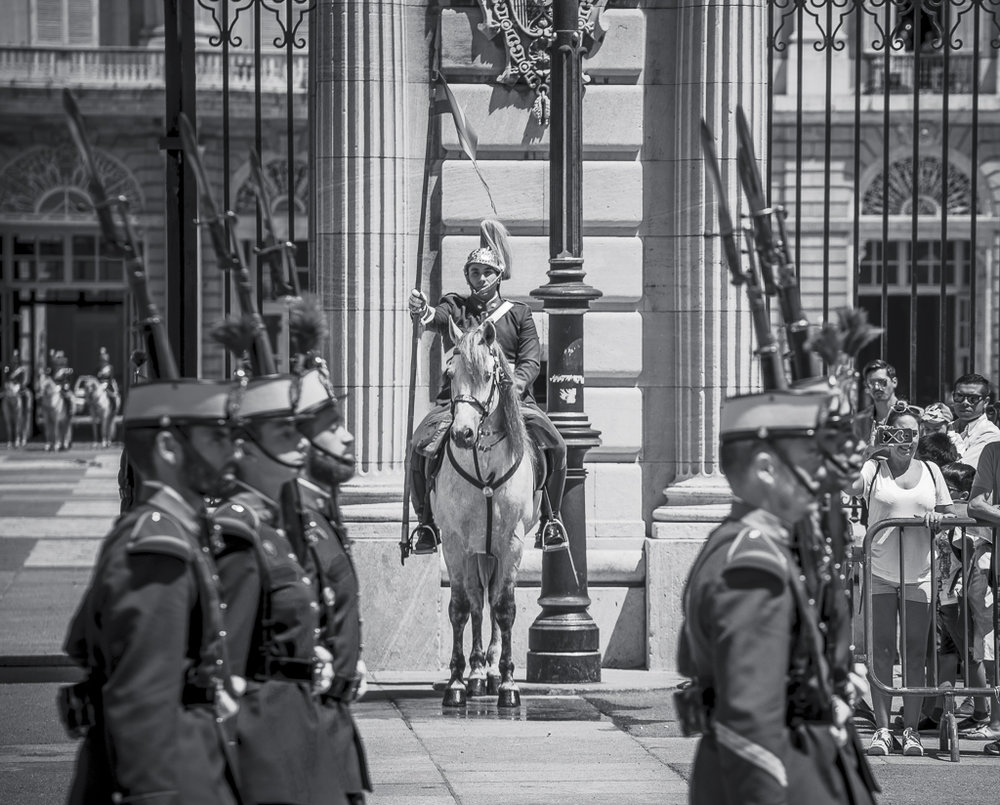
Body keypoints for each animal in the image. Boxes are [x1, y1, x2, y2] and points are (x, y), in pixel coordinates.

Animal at [432, 320, 540, 708]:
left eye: (489, 374)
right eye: (449, 374)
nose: (463, 434)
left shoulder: (512, 541)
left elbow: (504, 607)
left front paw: (508, 683)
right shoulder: (455, 543)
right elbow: (462, 606)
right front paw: (456, 682)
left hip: (492, 548)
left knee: (492, 601)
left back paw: (490, 672)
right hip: (477, 549)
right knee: (479, 602)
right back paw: (477, 672)